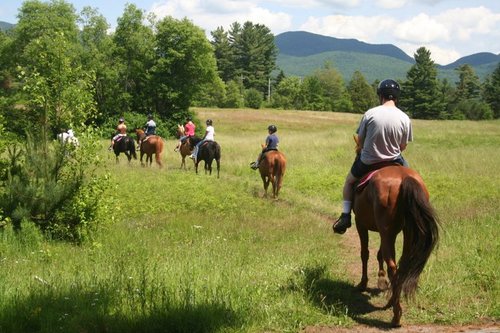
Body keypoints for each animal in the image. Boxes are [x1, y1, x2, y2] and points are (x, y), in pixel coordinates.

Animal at [348, 134, 438, 324]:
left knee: (393, 266)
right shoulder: (387, 232)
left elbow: (365, 253)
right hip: (407, 232)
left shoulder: (361, 224)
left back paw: (396, 314)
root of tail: (404, 180)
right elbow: (379, 253)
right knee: (401, 265)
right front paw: (381, 280)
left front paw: (363, 284)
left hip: (387, 231)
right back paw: (392, 301)